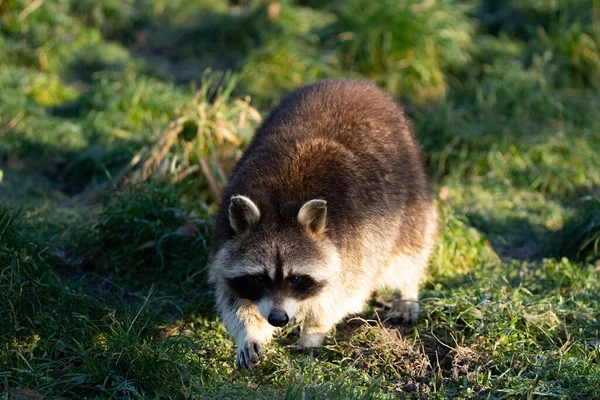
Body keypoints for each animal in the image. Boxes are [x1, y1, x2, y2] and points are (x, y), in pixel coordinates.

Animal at [209, 79, 438, 370]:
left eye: (296, 278)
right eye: (259, 277)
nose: (278, 319)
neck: (280, 202)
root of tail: (355, 83)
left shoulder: (356, 243)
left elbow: (341, 296)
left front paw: (312, 331)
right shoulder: (224, 238)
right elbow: (234, 298)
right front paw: (249, 332)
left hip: (410, 195)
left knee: (411, 249)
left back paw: (407, 289)